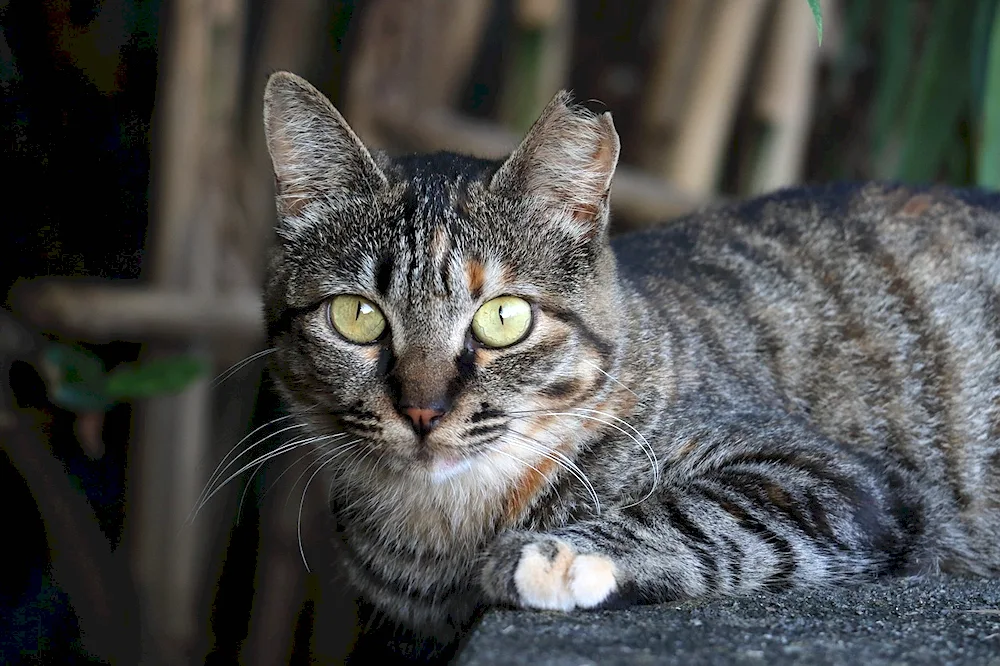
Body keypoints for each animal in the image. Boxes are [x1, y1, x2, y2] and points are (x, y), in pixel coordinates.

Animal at [260, 74, 1000, 648]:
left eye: (504, 318)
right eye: (357, 316)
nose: (422, 410)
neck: (440, 529)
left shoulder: (841, 480)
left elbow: (699, 511)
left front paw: (560, 552)